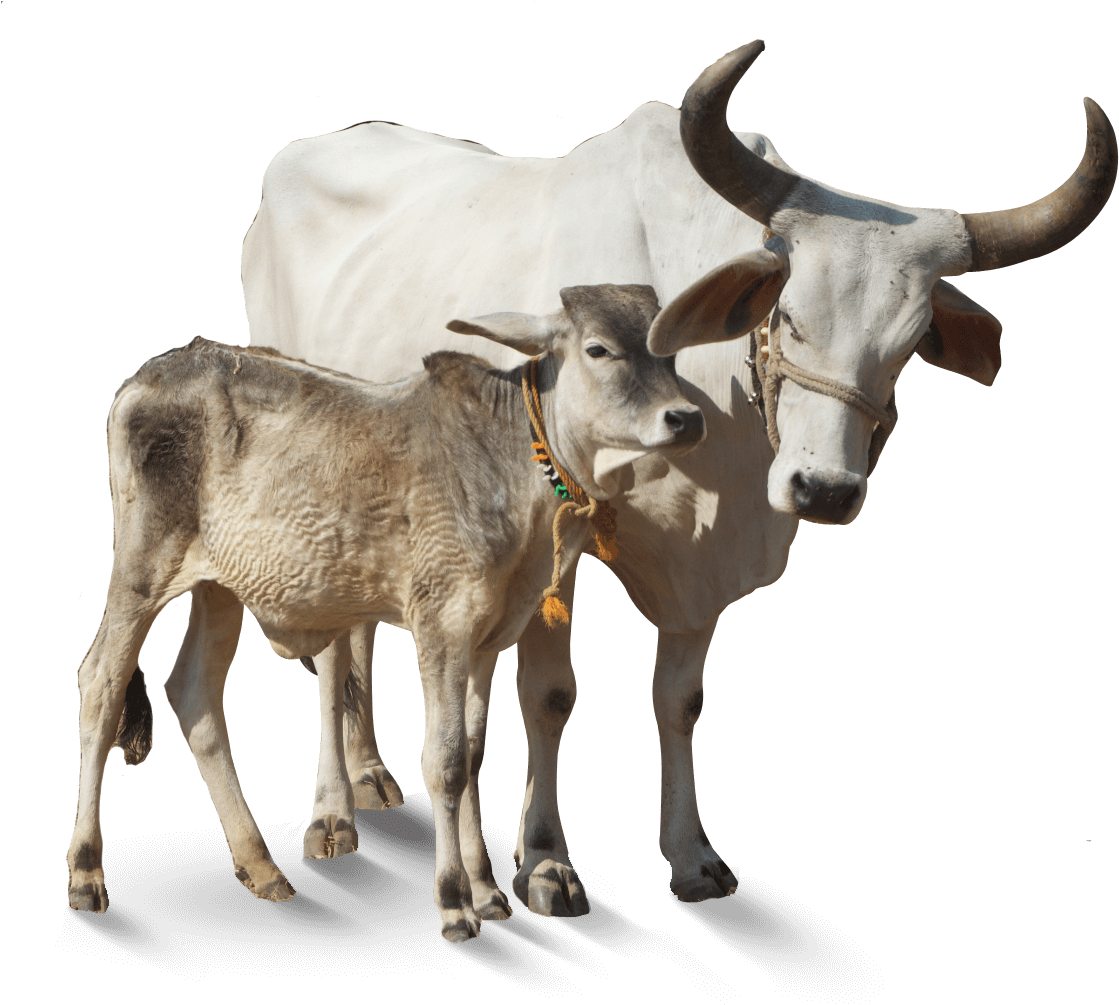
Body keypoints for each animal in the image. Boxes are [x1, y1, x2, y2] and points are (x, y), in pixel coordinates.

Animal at [66, 284, 713, 942]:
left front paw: (486, 891)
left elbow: (473, 753)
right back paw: (87, 872)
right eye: (598, 349)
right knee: (101, 682)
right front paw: (454, 900)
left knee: (194, 692)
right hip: (143, 567)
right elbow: (445, 762)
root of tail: (157, 370)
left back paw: (260, 865)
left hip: (218, 586)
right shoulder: (441, 623)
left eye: (670, 351)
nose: (686, 418)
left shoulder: (485, 638)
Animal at [232, 40, 1114, 917]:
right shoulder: (556, 542)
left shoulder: (701, 567)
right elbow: (549, 695)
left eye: (905, 347)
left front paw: (690, 855)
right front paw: (545, 861)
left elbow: (678, 702)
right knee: (327, 653)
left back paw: (371, 774)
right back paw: (332, 812)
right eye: (788, 316)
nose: (824, 490)